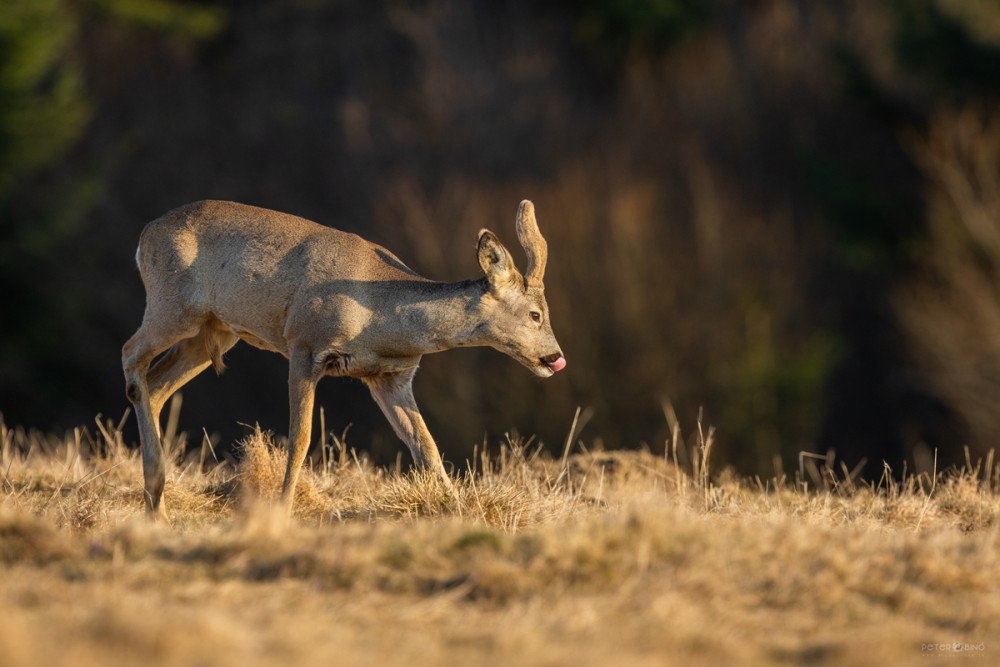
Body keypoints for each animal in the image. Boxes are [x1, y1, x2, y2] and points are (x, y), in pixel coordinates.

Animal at [123, 198, 564, 520]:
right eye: (535, 315)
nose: (556, 358)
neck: (380, 316)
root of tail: (143, 236)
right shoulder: (303, 343)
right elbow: (301, 438)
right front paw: (282, 509)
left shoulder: (391, 378)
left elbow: (426, 446)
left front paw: (459, 510)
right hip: (174, 307)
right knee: (131, 354)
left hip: (215, 332)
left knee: (158, 386)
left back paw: (157, 504)